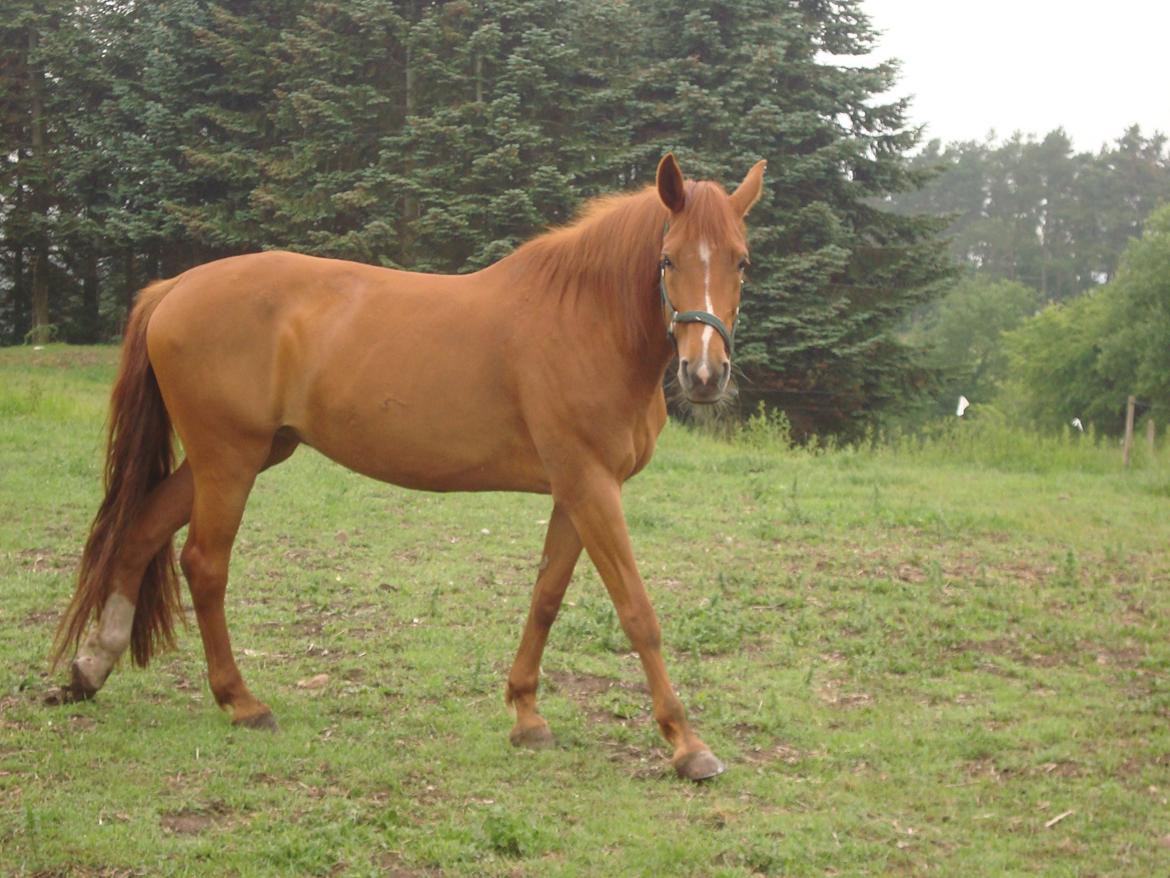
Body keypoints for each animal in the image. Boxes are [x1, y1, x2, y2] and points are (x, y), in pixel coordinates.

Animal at [52, 153, 767, 782]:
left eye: (742, 261)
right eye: (669, 259)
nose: (705, 375)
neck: (584, 318)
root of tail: (176, 286)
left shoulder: (576, 487)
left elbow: (545, 598)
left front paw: (526, 714)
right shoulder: (591, 486)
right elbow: (638, 612)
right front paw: (687, 745)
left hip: (238, 454)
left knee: (141, 530)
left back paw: (92, 665)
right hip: (228, 456)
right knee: (203, 564)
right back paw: (242, 703)